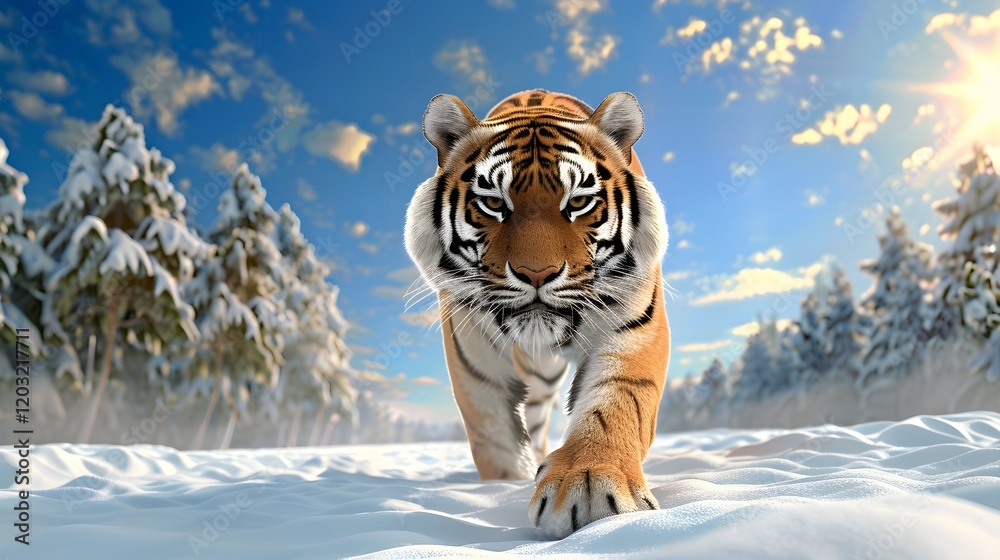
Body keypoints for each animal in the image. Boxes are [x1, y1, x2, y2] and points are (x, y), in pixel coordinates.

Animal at [404, 88, 670, 539]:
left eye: (578, 201)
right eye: (493, 203)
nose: (536, 273)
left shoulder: (634, 324)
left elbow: (616, 402)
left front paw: (589, 485)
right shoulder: (474, 358)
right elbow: (494, 437)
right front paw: (503, 486)